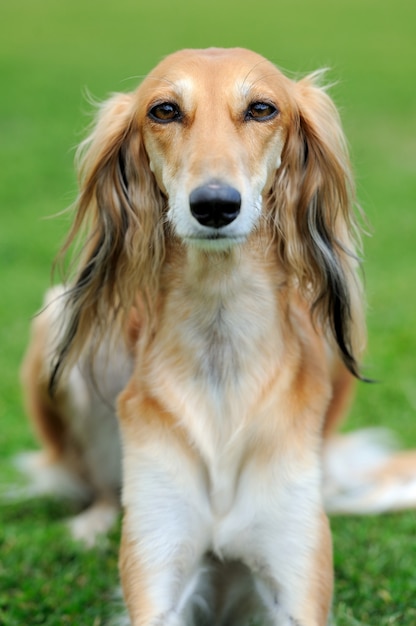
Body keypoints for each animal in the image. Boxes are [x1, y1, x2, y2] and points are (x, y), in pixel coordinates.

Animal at [19, 47, 416, 620]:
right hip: (58, 322)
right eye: (164, 110)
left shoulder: (295, 573)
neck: (220, 338)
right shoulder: (161, 562)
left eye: (262, 109)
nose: (213, 205)